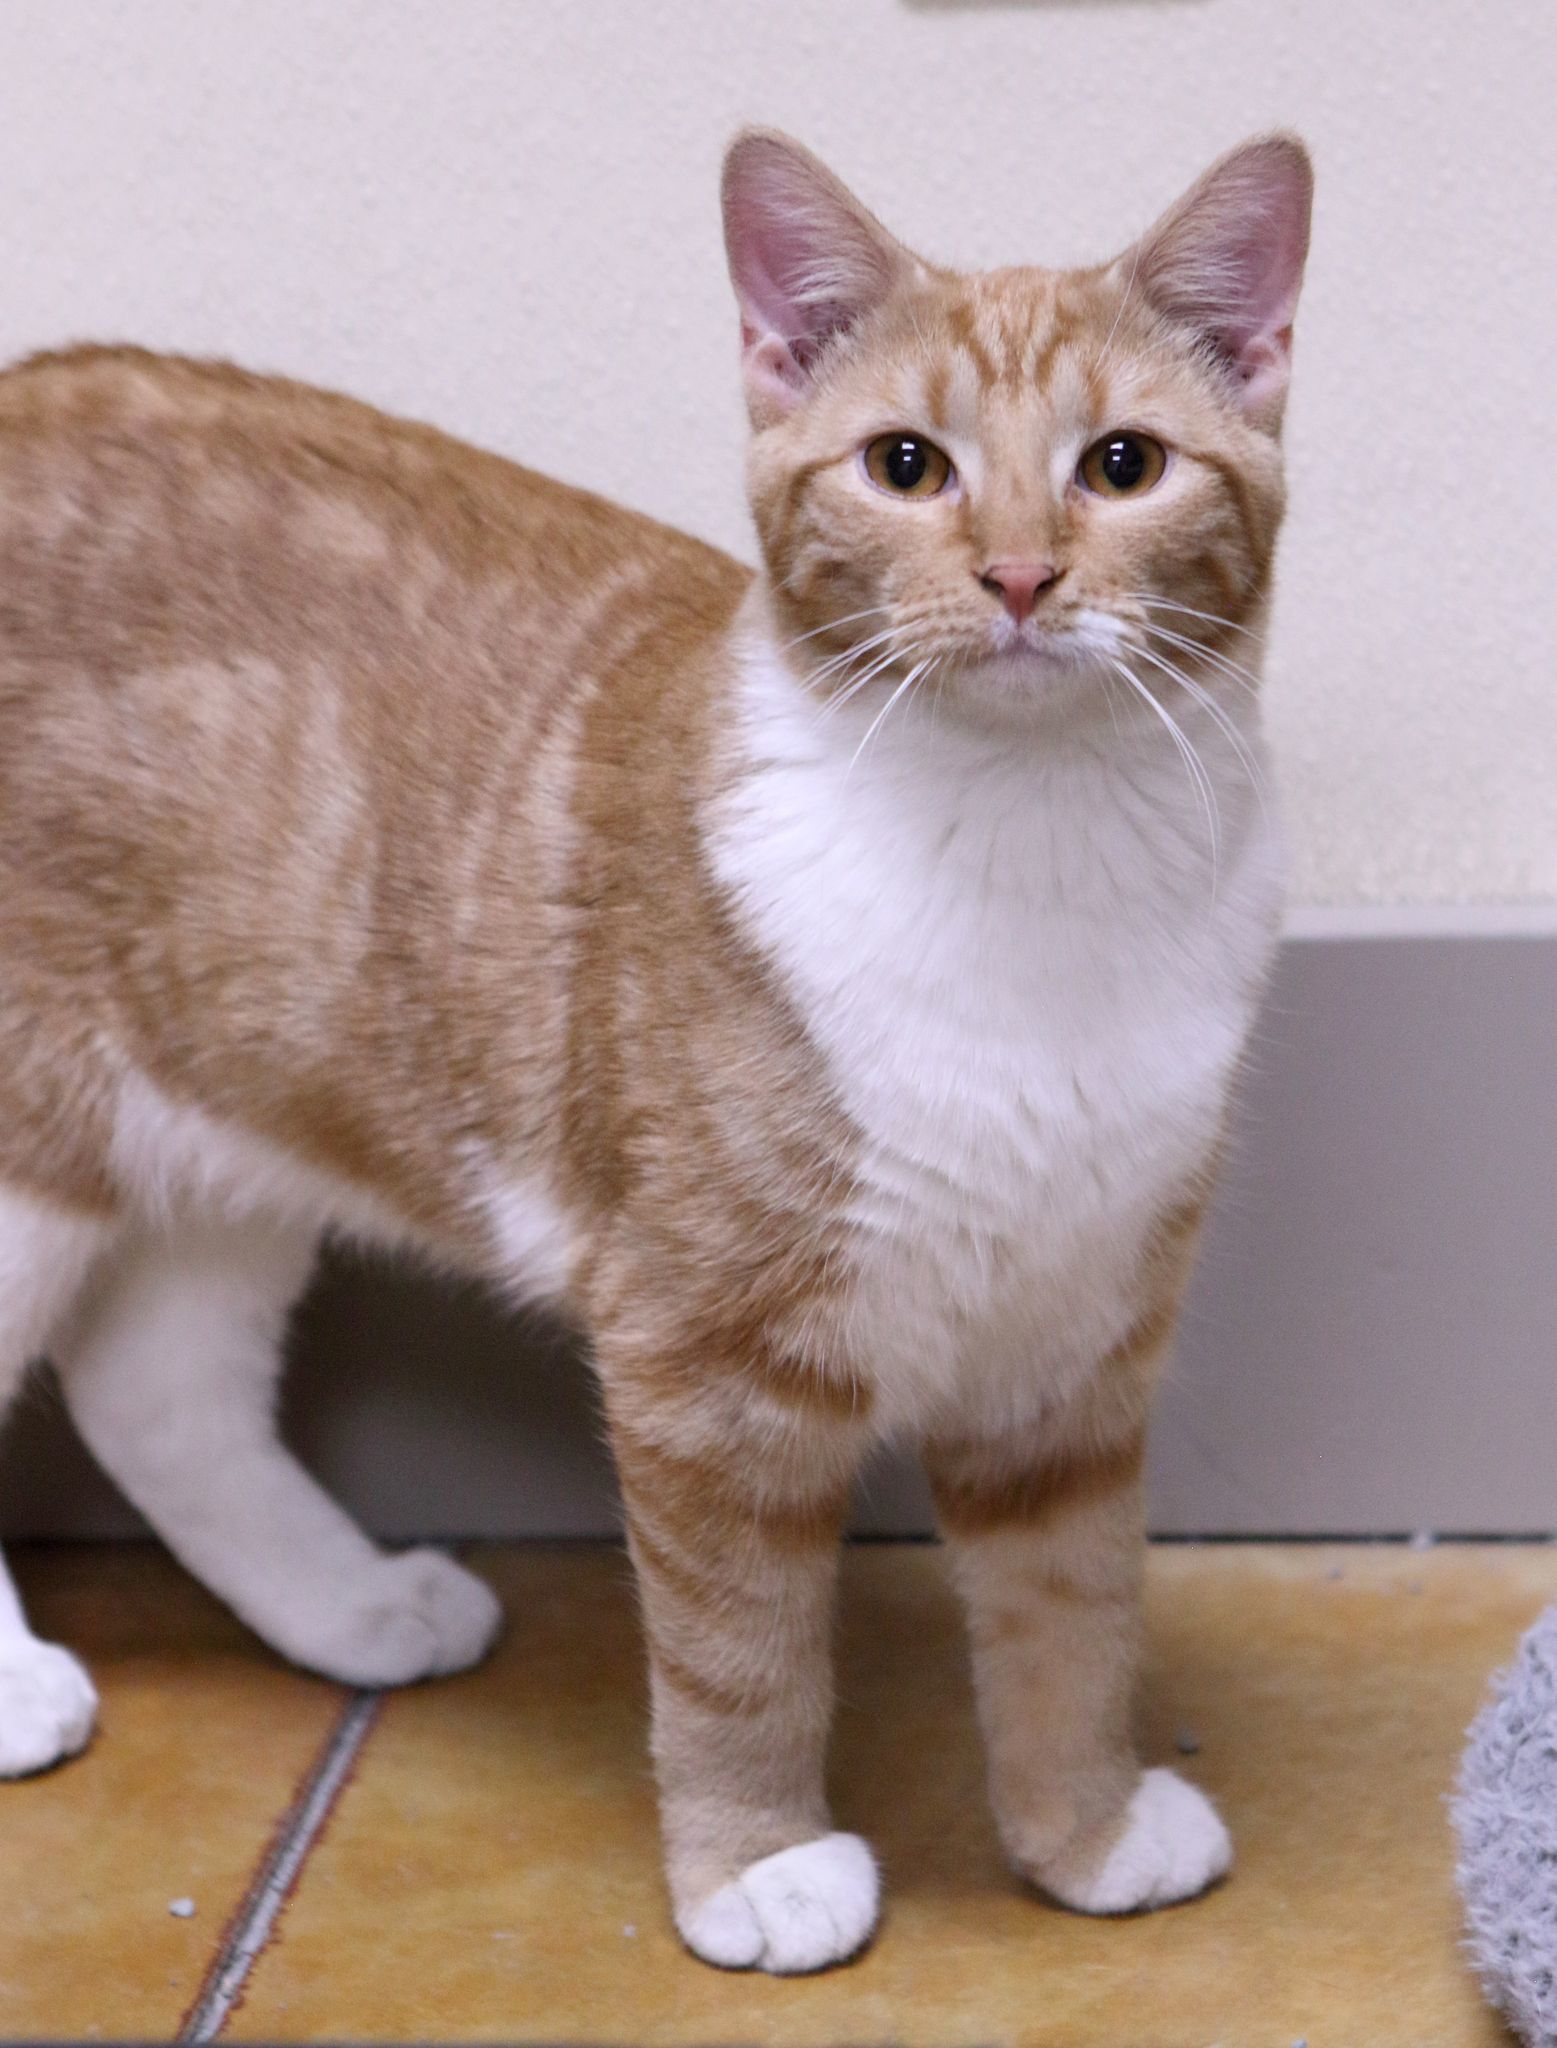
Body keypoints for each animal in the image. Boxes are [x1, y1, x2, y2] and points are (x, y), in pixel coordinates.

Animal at [0, 128, 1311, 1966]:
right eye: (905, 465)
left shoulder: (1076, 1336)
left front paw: (1085, 1827)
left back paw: (353, 1604)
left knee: (155, 1390)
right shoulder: (703, 1353)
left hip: (239, 1115)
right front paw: (756, 1862)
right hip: (33, 1142)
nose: (1018, 575)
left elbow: (1072, 1611)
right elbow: (738, 1643)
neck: (1035, 863)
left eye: (1121, 465)